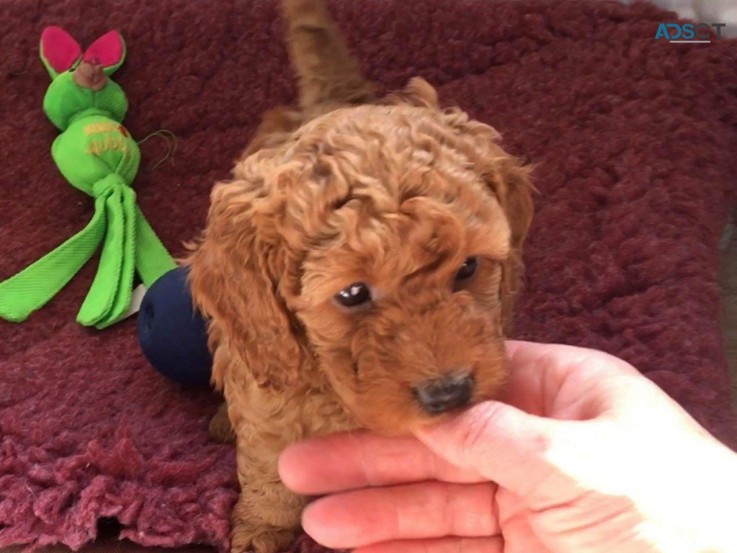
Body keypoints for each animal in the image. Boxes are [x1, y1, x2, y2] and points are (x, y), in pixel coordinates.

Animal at [183, 2, 528, 548]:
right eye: (351, 293)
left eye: (469, 267)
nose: (449, 393)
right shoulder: (270, 407)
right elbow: (269, 470)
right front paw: (262, 527)